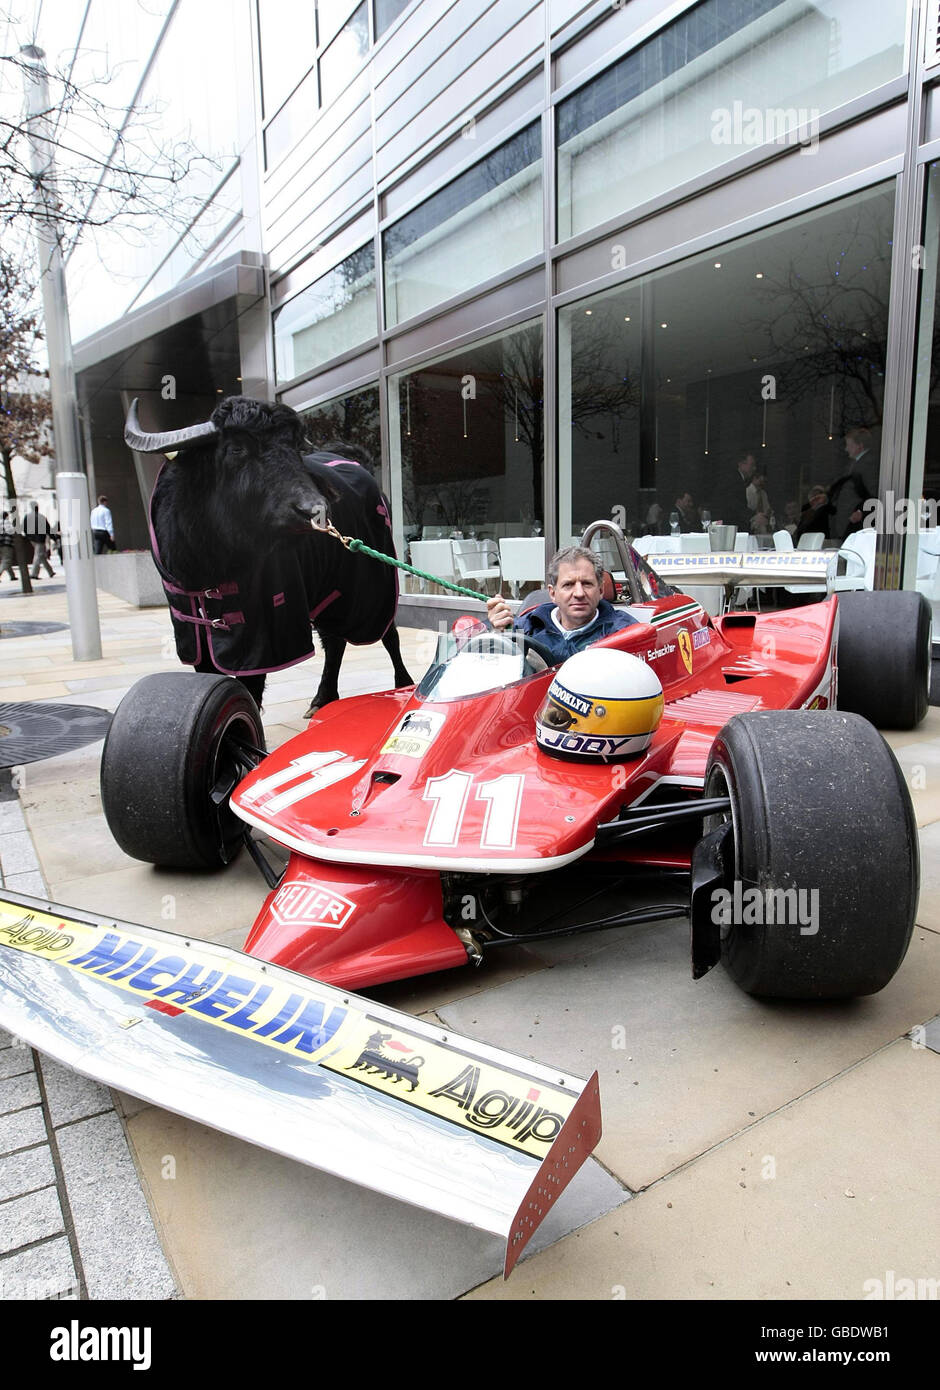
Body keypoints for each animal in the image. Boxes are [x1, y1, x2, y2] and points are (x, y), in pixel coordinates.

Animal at [126, 394, 414, 711]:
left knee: (389, 634)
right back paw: (322, 698)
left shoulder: (260, 635)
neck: (206, 563)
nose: (314, 509)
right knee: (334, 641)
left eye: (295, 449)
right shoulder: (194, 633)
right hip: (328, 588)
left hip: (371, 588)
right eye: (236, 448)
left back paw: (403, 686)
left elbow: (252, 686)